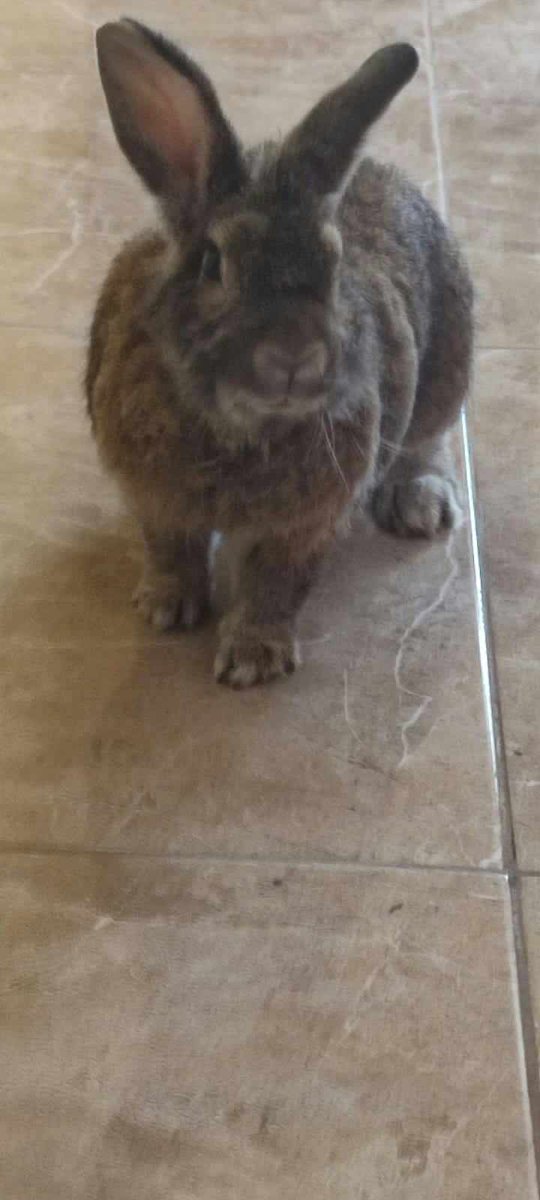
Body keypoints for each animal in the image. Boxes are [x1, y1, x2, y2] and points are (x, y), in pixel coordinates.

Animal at [86, 19, 473, 688]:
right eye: (214, 265)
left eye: (334, 266)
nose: (295, 359)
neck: (236, 428)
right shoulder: (152, 497)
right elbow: (169, 549)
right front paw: (164, 606)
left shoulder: (305, 524)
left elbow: (277, 584)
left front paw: (252, 659)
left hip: (447, 367)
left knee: (429, 438)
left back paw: (418, 502)